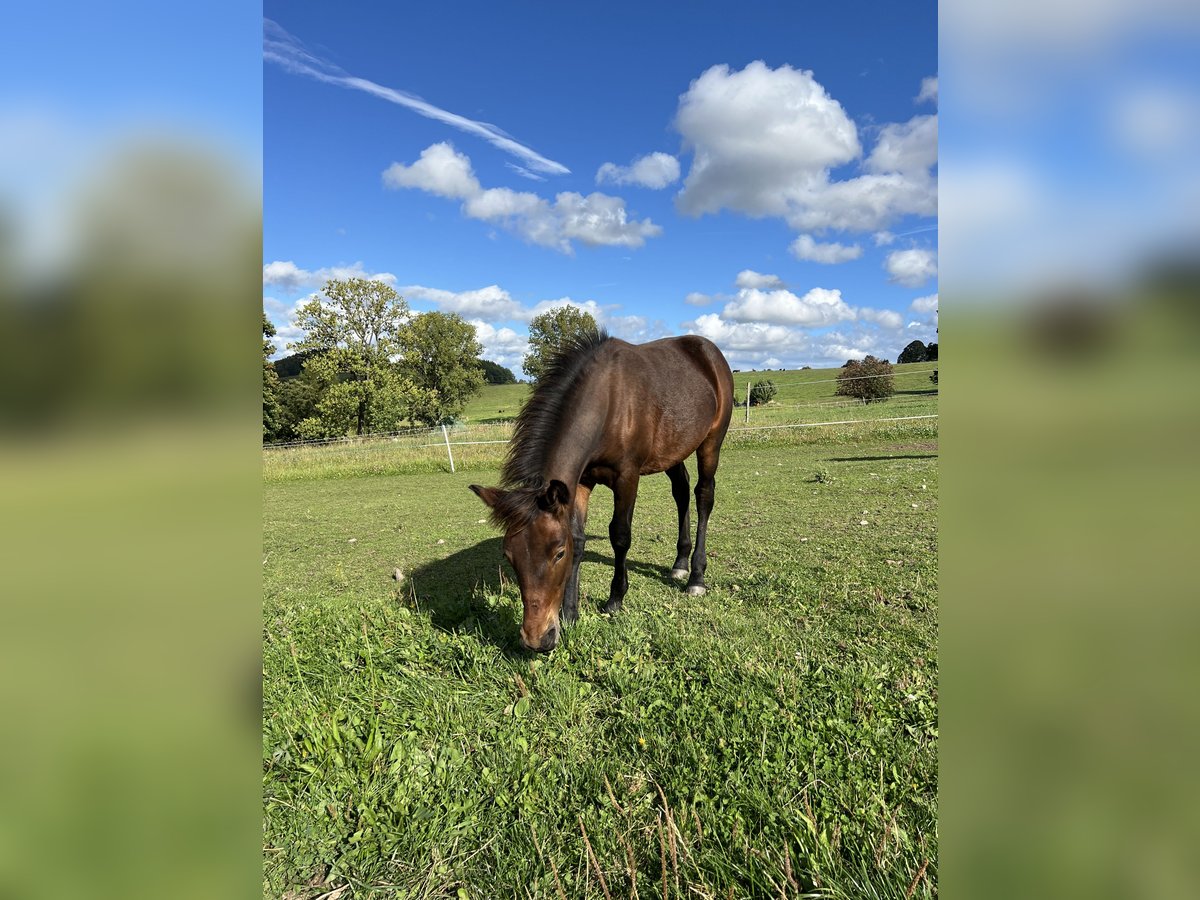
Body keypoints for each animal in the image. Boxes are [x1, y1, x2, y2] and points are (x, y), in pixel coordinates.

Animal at [470, 329, 734, 652]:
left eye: (558, 553)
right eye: (509, 555)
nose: (537, 639)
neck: (608, 402)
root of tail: (709, 352)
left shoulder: (627, 477)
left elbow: (620, 535)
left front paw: (614, 600)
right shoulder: (580, 482)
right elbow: (579, 539)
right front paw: (570, 613)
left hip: (711, 443)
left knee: (703, 496)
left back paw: (696, 576)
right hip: (674, 449)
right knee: (681, 492)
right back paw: (680, 563)